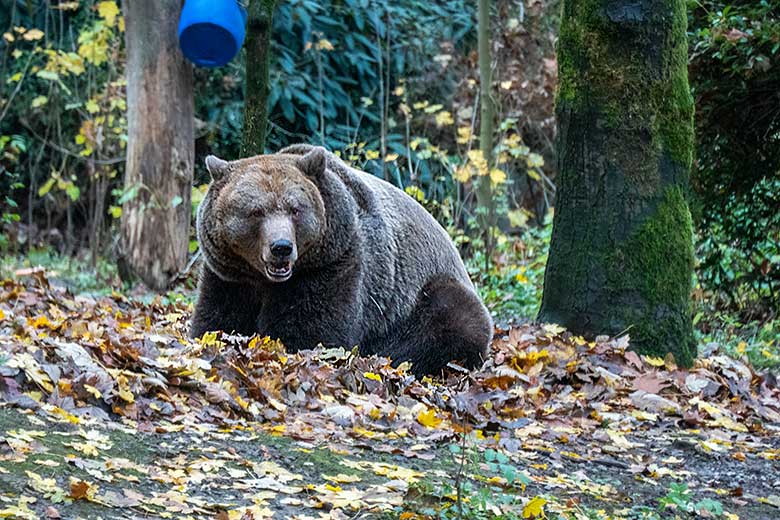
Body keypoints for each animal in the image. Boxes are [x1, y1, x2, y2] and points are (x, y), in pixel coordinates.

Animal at [190, 144, 490, 376]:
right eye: (255, 211)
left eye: (295, 209)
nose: (281, 247)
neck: (267, 281)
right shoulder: (229, 274)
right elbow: (216, 320)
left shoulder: (334, 266)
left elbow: (314, 332)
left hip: (421, 298)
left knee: (457, 318)